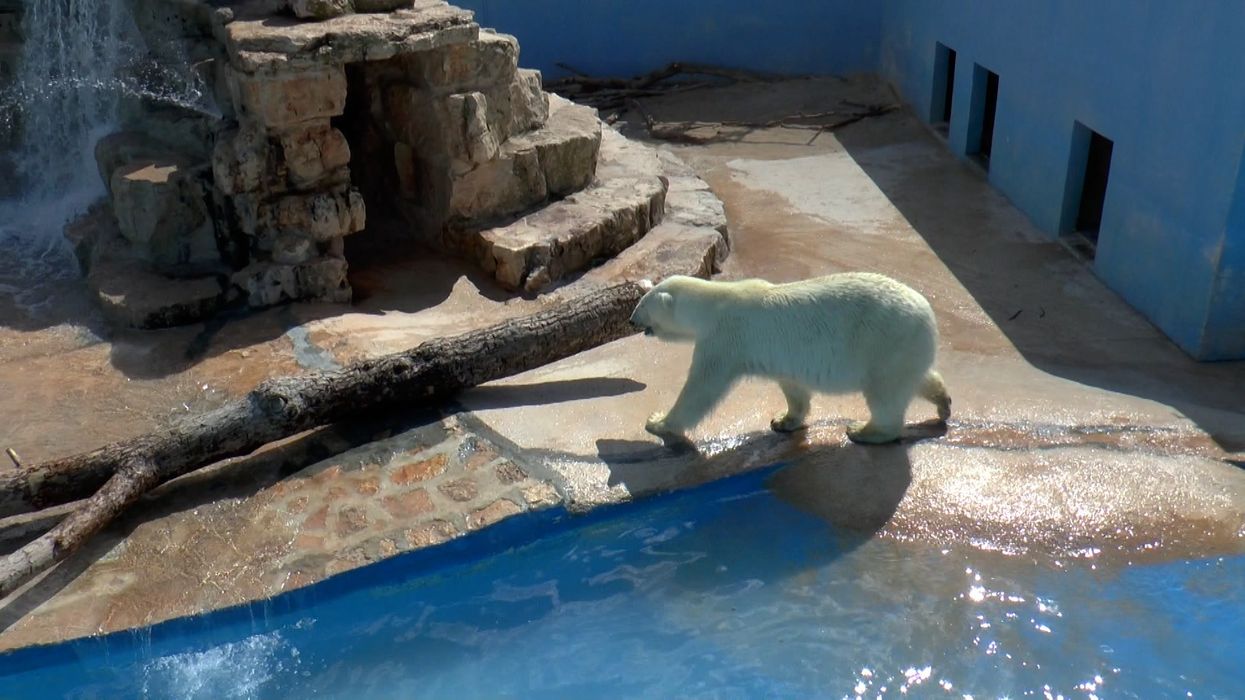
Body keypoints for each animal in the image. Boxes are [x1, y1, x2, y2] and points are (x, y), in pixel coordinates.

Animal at [629, 272, 951, 445]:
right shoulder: (781, 356)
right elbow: (793, 387)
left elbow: (701, 388)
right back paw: (943, 403)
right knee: (917, 377)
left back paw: (863, 430)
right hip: (906, 347)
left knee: (885, 394)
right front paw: (784, 420)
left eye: (642, 304)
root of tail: (928, 314)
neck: (713, 304)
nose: (632, 320)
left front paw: (658, 421)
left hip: (885, 342)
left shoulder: (725, 338)